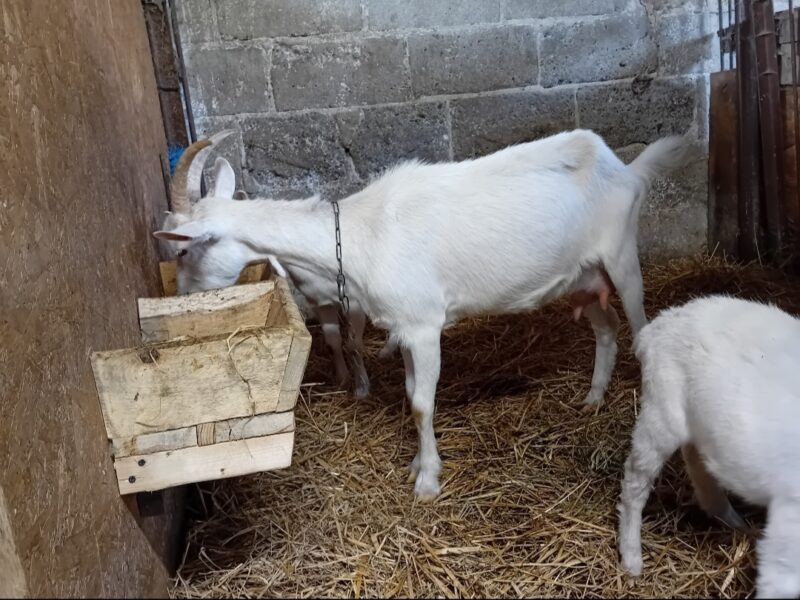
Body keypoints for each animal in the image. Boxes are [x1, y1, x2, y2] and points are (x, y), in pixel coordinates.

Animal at [155, 129, 688, 500]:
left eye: (182, 250)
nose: (180, 298)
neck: (361, 235)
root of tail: (624, 166)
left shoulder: (424, 326)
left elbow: (420, 404)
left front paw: (427, 482)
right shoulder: (405, 329)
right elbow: (412, 393)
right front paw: (416, 465)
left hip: (621, 256)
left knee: (641, 324)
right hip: (581, 278)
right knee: (607, 328)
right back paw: (593, 398)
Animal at [620, 296, 800, 600]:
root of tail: (657, 326)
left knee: (697, 461)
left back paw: (730, 519)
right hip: (661, 411)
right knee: (635, 481)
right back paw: (631, 560)